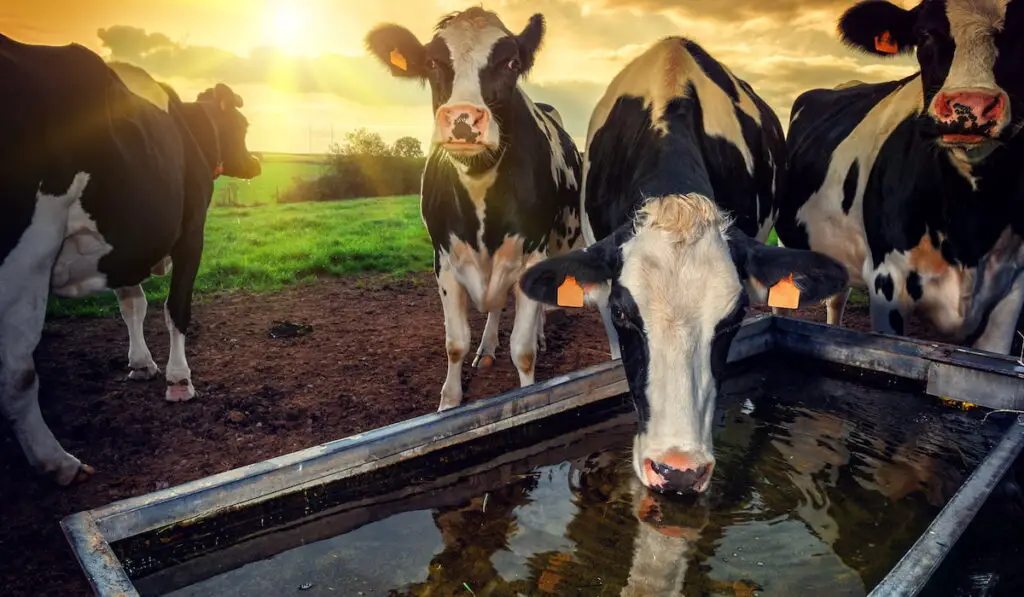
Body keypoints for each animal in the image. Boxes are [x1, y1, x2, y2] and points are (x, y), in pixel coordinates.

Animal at [0, 35, 262, 485]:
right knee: (18, 372)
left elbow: (132, 305)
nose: (258, 163)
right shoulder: (191, 232)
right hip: (27, 255)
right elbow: (176, 308)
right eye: (242, 126)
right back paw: (59, 462)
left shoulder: (125, 244)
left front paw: (141, 364)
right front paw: (179, 380)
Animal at [366, 7, 585, 413]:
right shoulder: (444, 261)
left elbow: (523, 350)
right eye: (433, 63)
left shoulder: (531, 255)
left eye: (512, 63)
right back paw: (486, 348)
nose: (464, 118)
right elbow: (455, 343)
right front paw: (449, 403)